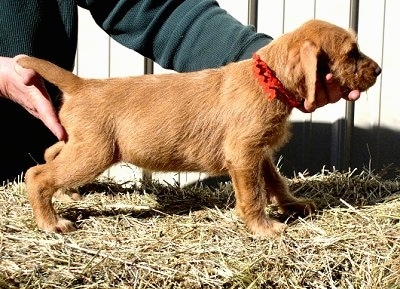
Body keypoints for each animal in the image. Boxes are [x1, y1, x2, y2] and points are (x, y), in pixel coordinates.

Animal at [18, 19, 382, 236]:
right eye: (352, 53)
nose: (379, 70)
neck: (266, 81)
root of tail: (82, 85)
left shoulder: (257, 152)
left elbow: (275, 181)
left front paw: (292, 205)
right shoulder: (243, 153)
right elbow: (254, 194)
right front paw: (264, 227)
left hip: (80, 144)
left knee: (51, 152)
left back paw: (66, 194)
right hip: (95, 153)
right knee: (37, 175)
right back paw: (51, 222)